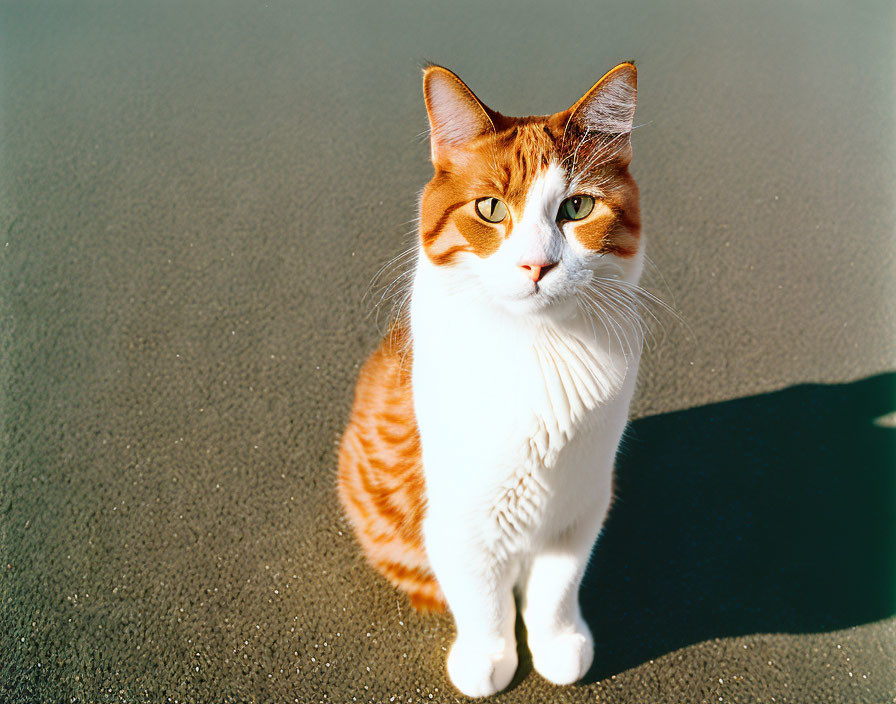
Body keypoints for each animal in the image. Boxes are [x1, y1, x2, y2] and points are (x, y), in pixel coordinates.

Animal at [338, 62, 644, 700]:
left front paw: (557, 642)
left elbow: (556, 588)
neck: (539, 349)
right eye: (489, 209)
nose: (536, 265)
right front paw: (488, 655)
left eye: (577, 207)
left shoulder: (581, 506)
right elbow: (482, 598)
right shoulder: (458, 520)